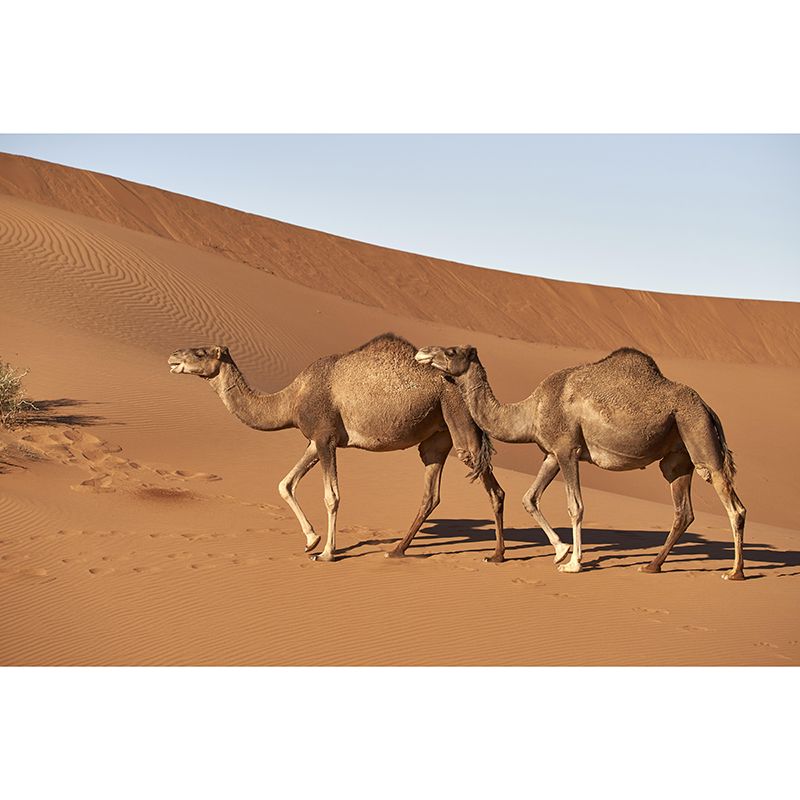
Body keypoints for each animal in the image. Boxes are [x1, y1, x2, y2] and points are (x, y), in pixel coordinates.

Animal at [168, 334, 506, 562]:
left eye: (200, 352)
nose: (173, 357)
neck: (290, 399)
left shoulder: (326, 438)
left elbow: (331, 496)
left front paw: (327, 553)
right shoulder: (314, 440)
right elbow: (284, 483)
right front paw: (311, 540)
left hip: (459, 420)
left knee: (491, 486)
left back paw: (498, 555)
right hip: (438, 435)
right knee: (431, 494)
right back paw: (397, 550)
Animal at [414, 345, 746, 580]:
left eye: (451, 351)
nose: (422, 352)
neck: (530, 410)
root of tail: (708, 408)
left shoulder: (567, 449)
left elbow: (575, 506)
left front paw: (573, 563)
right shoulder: (550, 454)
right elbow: (529, 498)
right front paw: (561, 551)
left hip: (698, 434)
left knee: (734, 505)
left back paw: (735, 572)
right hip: (678, 456)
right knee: (683, 510)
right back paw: (652, 566)